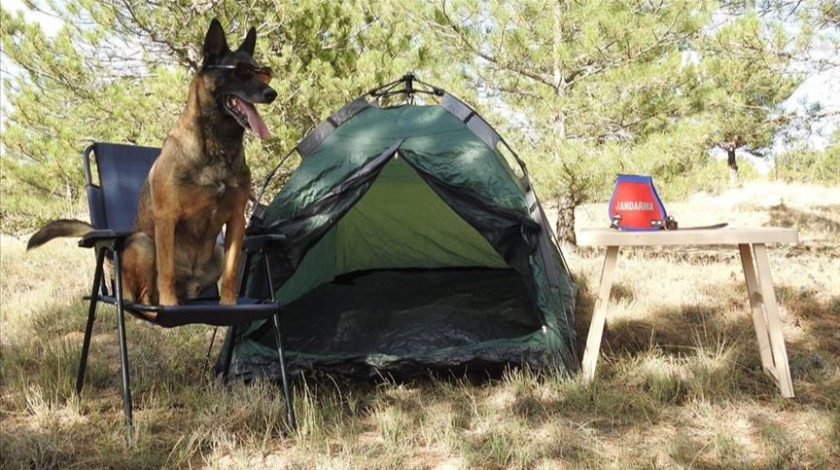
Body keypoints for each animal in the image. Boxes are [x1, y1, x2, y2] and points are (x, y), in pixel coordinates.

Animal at [25, 18, 276, 306]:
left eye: (262, 73)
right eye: (242, 73)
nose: (272, 93)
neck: (217, 148)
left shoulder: (236, 221)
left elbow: (233, 272)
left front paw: (229, 303)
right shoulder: (167, 217)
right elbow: (165, 270)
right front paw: (169, 304)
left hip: (218, 251)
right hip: (143, 243)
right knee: (142, 294)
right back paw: (153, 304)